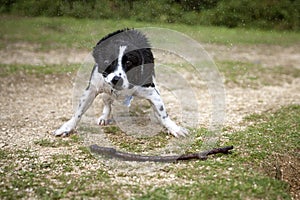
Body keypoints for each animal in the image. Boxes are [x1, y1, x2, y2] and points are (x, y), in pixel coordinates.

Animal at [52, 28, 186, 138]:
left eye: (129, 62)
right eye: (107, 61)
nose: (116, 79)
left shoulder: (151, 91)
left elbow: (163, 113)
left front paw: (173, 128)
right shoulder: (92, 88)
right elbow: (78, 112)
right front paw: (67, 127)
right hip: (106, 93)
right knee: (107, 103)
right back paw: (104, 117)